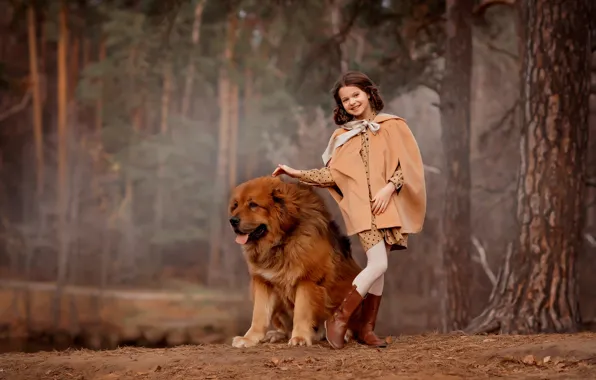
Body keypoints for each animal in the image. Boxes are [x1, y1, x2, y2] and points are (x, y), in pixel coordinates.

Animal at [228, 177, 360, 346]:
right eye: (235, 205)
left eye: (253, 205)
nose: (232, 220)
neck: (281, 241)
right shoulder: (263, 282)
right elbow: (259, 314)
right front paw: (249, 338)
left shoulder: (307, 280)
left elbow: (301, 311)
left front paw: (300, 337)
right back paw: (277, 334)